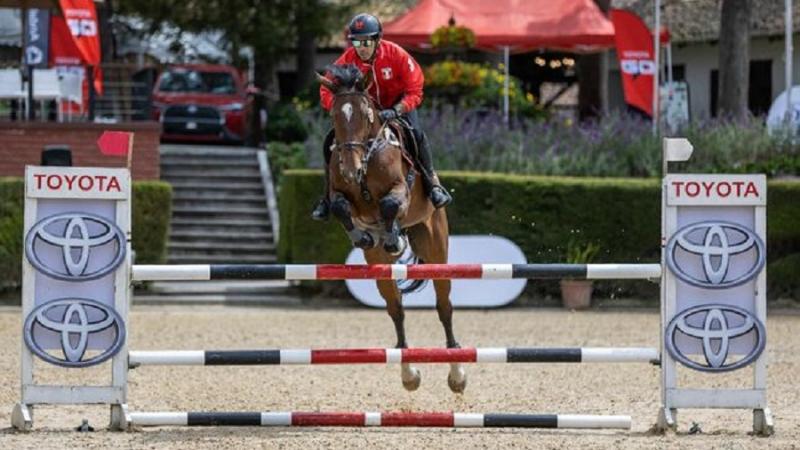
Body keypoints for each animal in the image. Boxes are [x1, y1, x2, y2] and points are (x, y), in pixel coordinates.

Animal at [317, 64, 466, 393]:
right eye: (334, 115)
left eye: (366, 115)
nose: (350, 169)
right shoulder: (338, 194)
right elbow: (340, 206)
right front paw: (362, 234)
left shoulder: (401, 191)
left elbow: (388, 204)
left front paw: (392, 236)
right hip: (379, 265)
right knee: (396, 309)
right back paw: (408, 373)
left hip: (436, 247)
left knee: (444, 306)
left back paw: (457, 373)